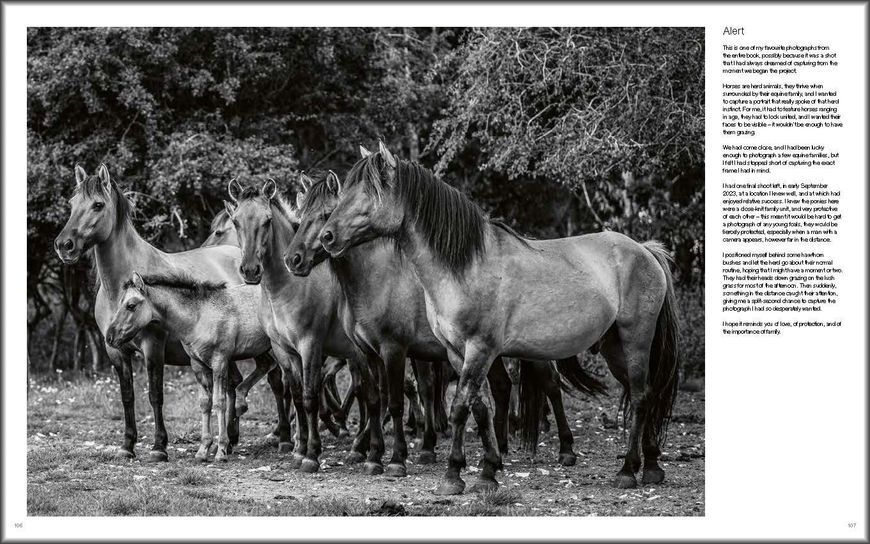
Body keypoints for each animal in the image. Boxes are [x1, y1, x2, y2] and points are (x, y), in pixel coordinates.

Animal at [54, 164, 250, 461]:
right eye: (71, 203)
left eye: (98, 205)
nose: (64, 245)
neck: (120, 288)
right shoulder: (115, 350)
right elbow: (127, 396)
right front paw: (127, 445)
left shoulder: (152, 346)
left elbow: (155, 395)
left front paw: (159, 447)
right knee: (233, 385)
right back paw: (229, 440)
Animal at [105, 271, 277, 463]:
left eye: (131, 305)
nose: (109, 337)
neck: (199, 316)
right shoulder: (198, 364)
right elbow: (205, 403)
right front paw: (203, 450)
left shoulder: (220, 361)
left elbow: (219, 402)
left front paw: (221, 450)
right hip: (261, 349)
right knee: (266, 366)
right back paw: (242, 403)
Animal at [225, 179, 379, 474]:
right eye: (236, 221)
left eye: (267, 221)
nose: (250, 270)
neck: (287, 288)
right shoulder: (284, 350)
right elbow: (295, 395)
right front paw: (298, 449)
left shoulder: (310, 347)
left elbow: (309, 397)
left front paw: (311, 455)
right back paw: (361, 447)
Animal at [285, 168, 606, 469]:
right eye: (301, 216)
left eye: (326, 213)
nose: (293, 259)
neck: (379, 278)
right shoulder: (367, 352)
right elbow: (377, 398)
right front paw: (372, 452)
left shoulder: (395, 349)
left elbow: (397, 400)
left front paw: (398, 455)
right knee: (502, 388)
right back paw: (499, 449)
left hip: (530, 350)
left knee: (550, 385)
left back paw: (565, 449)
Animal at [319, 142, 680, 494]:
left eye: (367, 192)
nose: (327, 237)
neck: (465, 267)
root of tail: (645, 250)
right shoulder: (457, 352)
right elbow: (479, 408)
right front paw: (488, 471)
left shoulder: (480, 349)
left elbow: (460, 407)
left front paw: (453, 476)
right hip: (614, 347)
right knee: (643, 393)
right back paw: (651, 466)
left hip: (635, 340)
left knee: (639, 396)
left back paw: (628, 470)